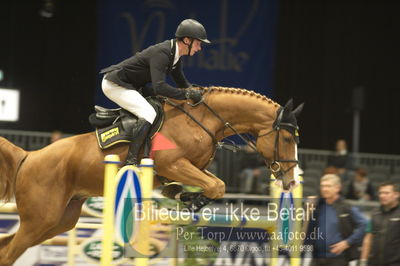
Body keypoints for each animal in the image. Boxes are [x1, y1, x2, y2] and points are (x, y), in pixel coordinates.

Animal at [0, 86, 302, 264]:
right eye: (287, 138)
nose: (290, 181)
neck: (203, 120)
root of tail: (29, 156)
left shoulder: (193, 167)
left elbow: (210, 183)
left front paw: (181, 195)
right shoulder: (172, 164)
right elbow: (217, 186)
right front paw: (192, 201)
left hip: (59, 221)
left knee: (7, 247)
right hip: (40, 220)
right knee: (9, 253)